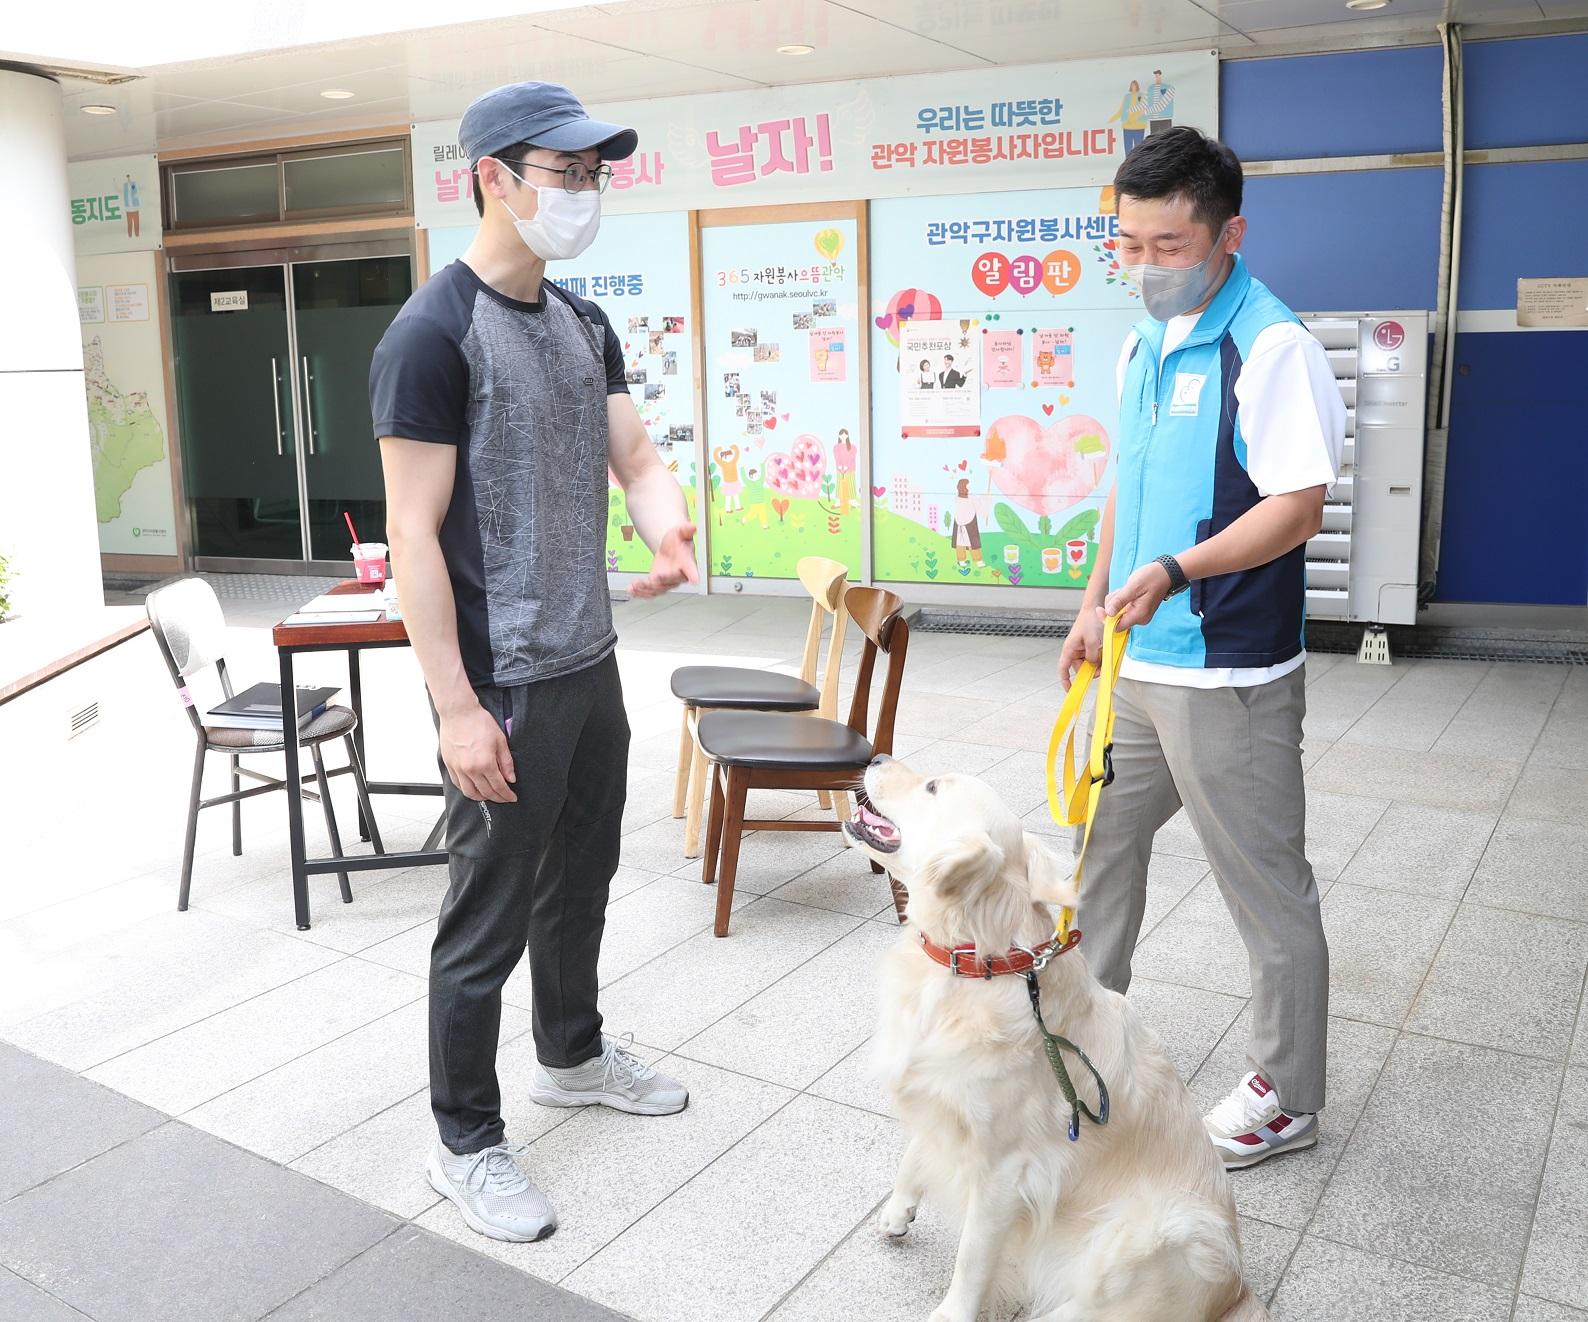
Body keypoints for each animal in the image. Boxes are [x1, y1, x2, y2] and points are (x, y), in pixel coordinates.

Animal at [844, 753, 1264, 1322]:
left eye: (931, 787)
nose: (876, 757)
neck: (978, 963)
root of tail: (1237, 1293)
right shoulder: (941, 1095)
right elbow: (915, 1152)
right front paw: (898, 1210)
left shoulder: (1005, 1172)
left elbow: (972, 1257)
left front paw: (952, 1311)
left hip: (1153, 1235)